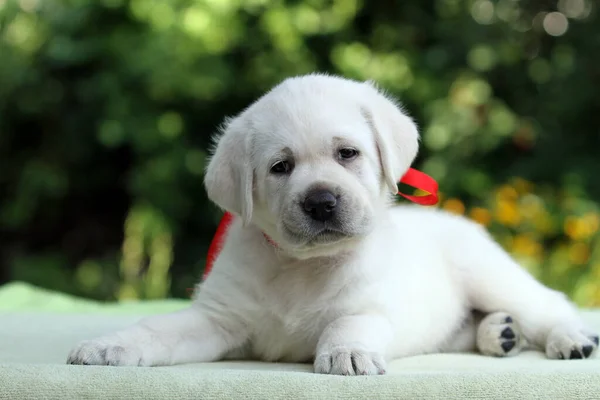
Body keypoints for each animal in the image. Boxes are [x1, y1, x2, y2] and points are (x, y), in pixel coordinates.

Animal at [68, 72, 596, 376]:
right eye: (281, 167)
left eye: (347, 153)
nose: (321, 202)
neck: (302, 267)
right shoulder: (218, 317)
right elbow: (157, 330)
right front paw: (108, 346)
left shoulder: (371, 304)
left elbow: (348, 322)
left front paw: (348, 354)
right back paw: (499, 334)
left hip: (489, 274)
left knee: (548, 304)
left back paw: (569, 338)